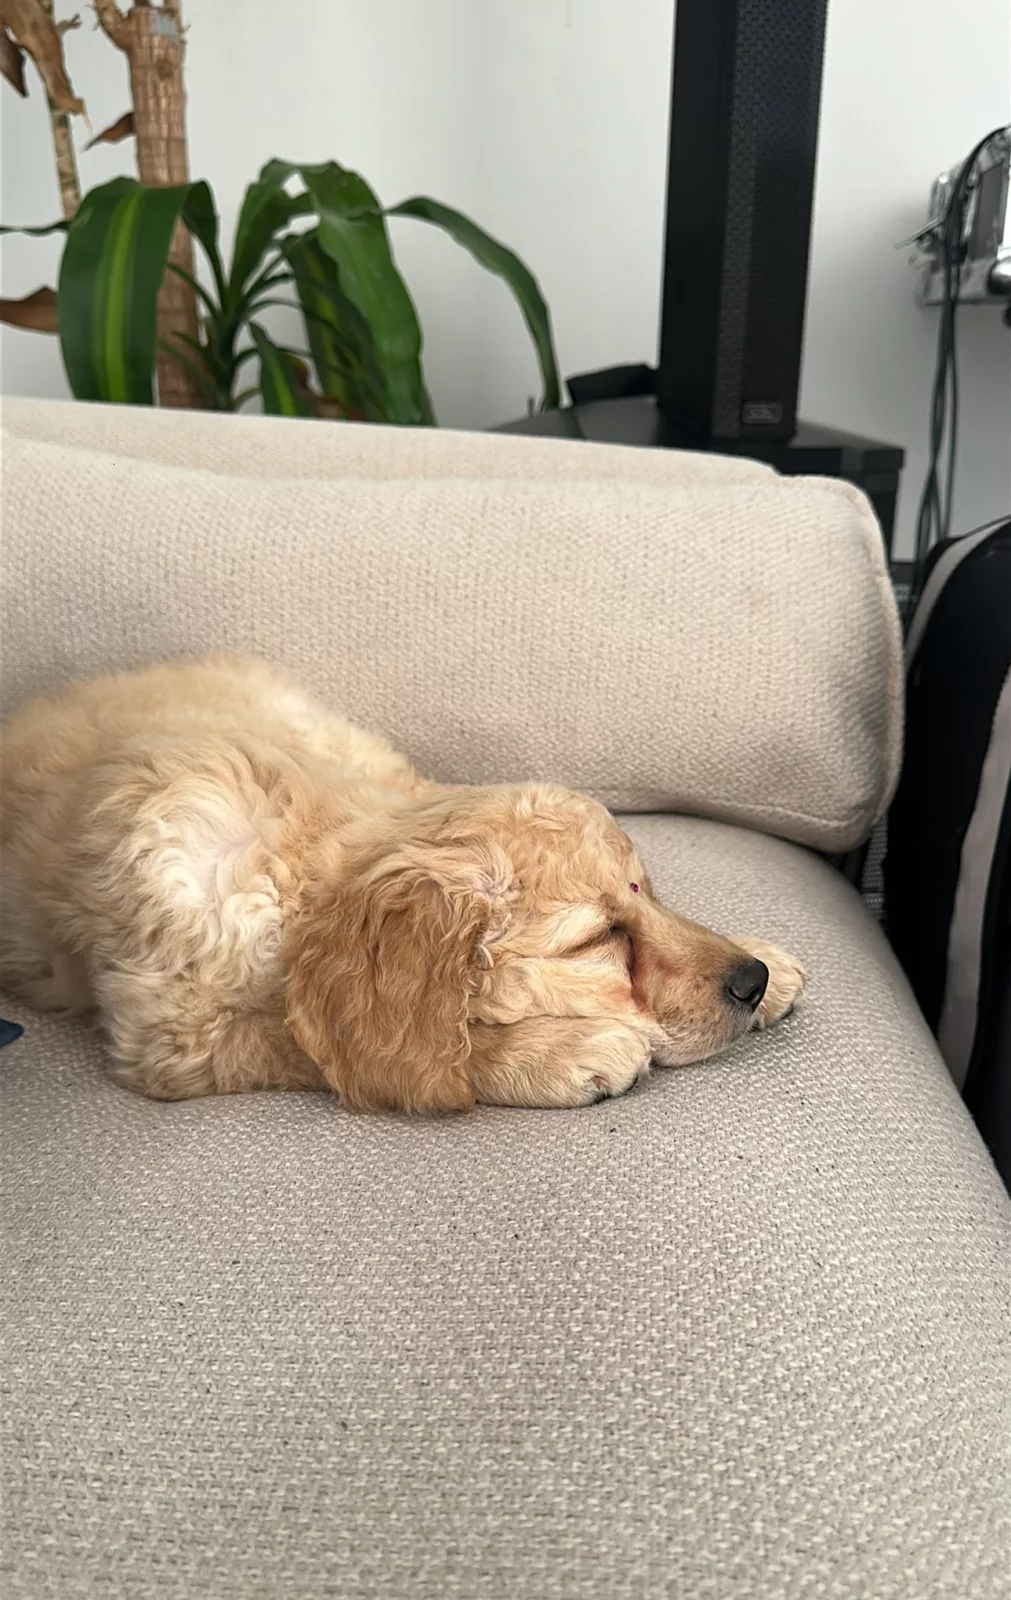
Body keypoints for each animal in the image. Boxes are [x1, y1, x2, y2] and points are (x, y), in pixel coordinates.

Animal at [0, 656, 804, 1112]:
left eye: (648, 894)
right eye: (596, 939)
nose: (750, 980)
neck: (295, 864)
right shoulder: (171, 1034)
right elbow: (322, 1044)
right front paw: (556, 1051)